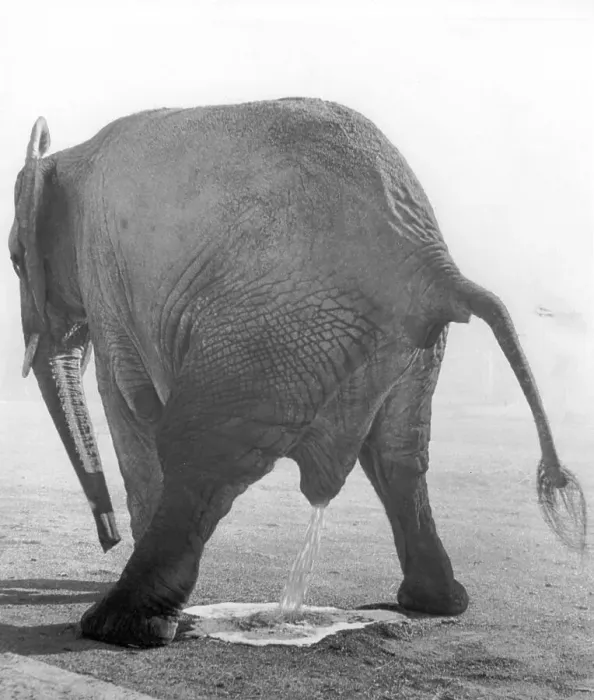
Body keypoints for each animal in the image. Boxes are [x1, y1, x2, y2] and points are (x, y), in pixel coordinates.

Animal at [8, 97, 586, 648]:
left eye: (15, 260)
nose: (107, 537)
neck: (68, 158)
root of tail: (431, 265)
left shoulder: (105, 273)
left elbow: (128, 404)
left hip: (275, 325)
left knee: (199, 450)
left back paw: (117, 627)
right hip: (401, 345)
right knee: (399, 456)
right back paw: (439, 603)